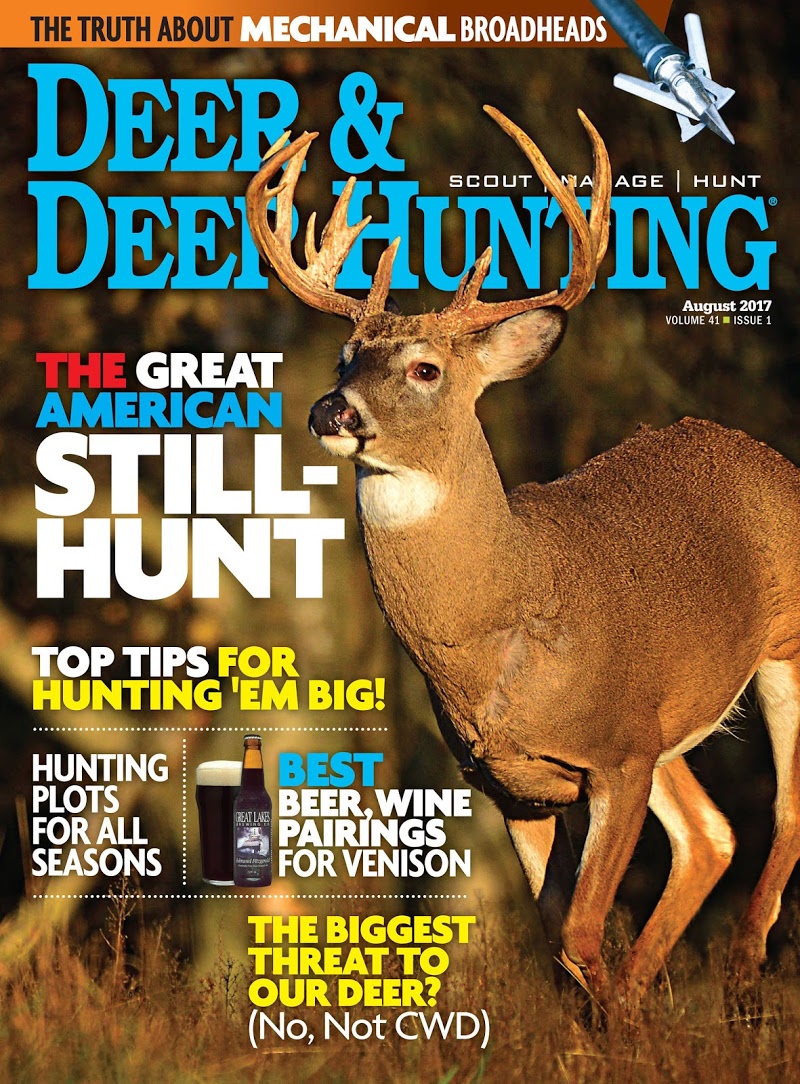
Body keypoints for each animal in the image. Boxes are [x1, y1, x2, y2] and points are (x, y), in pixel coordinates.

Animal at [246, 106, 800, 1016]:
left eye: (426, 368)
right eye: (344, 359)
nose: (332, 410)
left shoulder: (619, 754)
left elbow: (578, 930)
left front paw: (619, 1025)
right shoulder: (513, 783)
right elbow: (558, 937)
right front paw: (609, 1023)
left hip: (782, 647)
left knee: (783, 814)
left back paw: (745, 970)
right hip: (669, 727)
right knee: (711, 834)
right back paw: (658, 993)